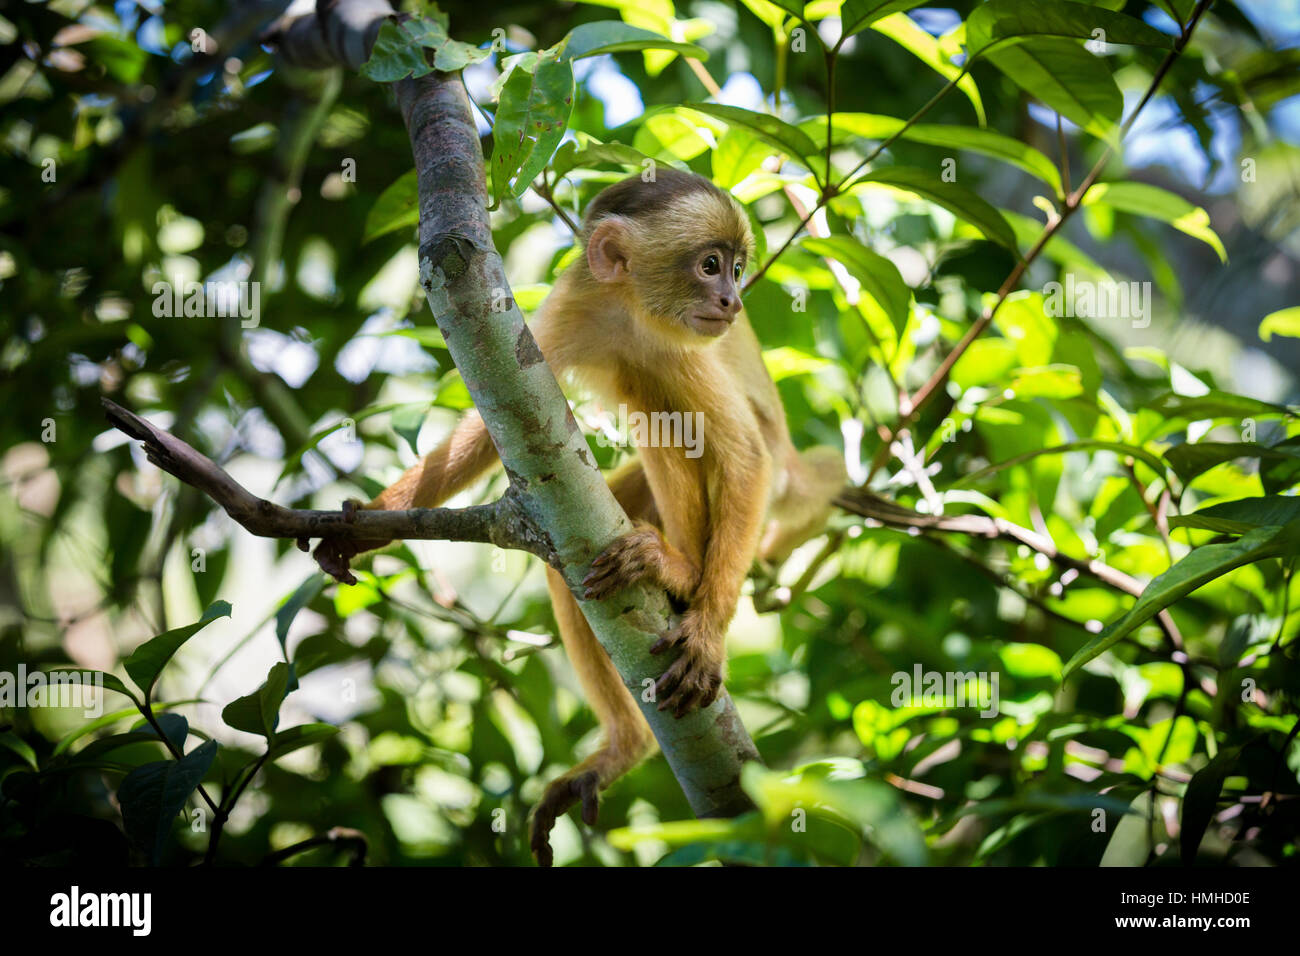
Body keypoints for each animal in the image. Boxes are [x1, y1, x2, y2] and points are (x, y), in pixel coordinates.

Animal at [312, 168, 846, 865]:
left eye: (736, 268)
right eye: (711, 266)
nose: (731, 300)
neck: (630, 313)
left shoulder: (684, 344)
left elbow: (741, 455)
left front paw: (707, 631)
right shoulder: (574, 308)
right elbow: (492, 428)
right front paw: (366, 522)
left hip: (765, 466)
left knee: (675, 414)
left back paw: (678, 571)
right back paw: (625, 746)